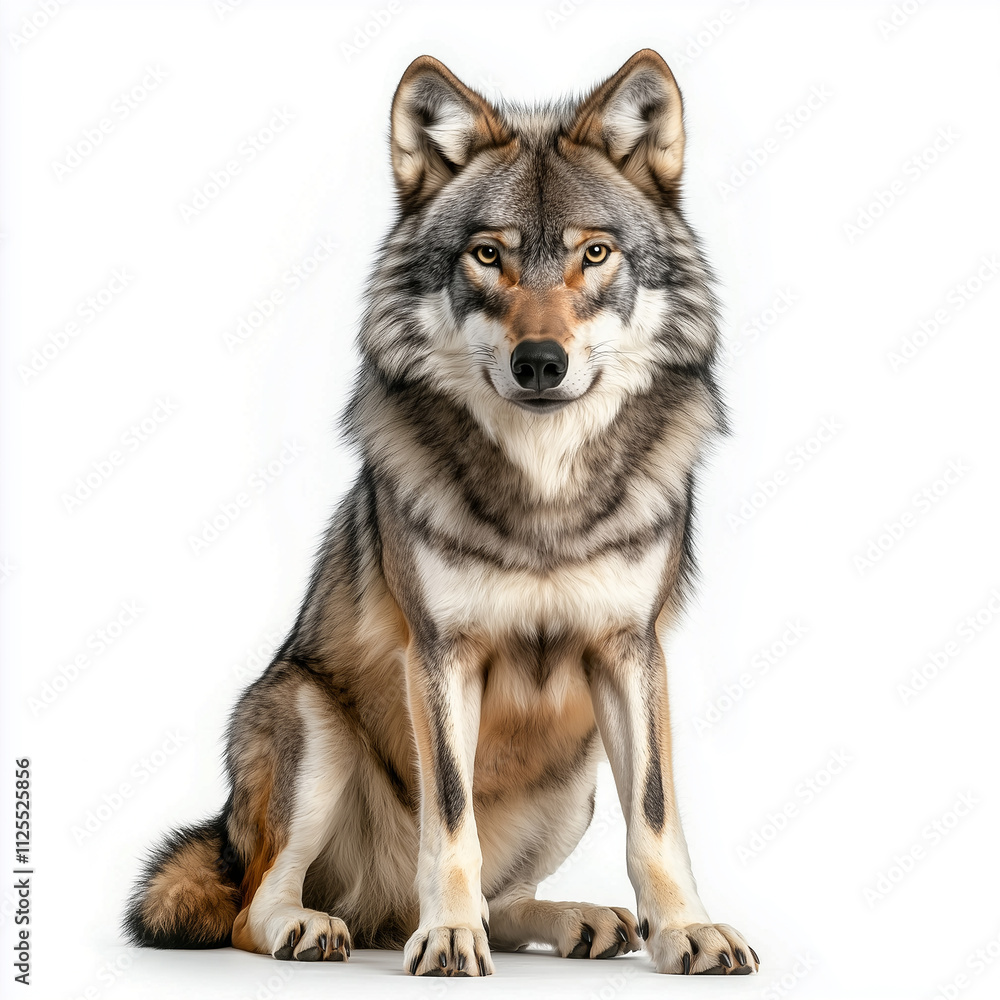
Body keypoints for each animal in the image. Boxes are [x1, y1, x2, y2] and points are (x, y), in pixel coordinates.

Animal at [124, 49, 759, 977]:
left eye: (595, 253)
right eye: (487, 255)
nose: (541, 362)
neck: (543, 492)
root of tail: (381, 911)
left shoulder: (630, 650)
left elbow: (654, 817)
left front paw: (687, 929)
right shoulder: (439, 652)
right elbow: (450, 816)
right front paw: (451, 935)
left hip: (572, 783)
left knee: (507, 895)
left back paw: (576, 919)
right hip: (310, 720)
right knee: (255, 903)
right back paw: (317, 927)